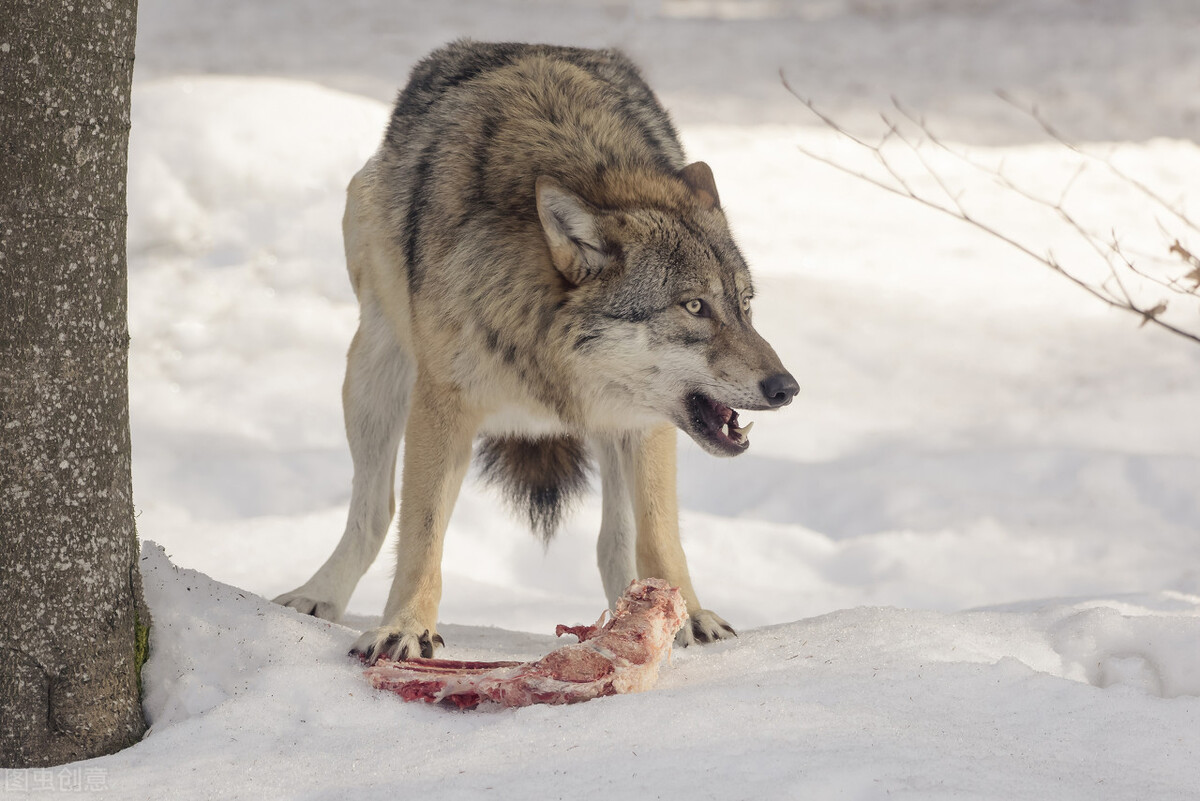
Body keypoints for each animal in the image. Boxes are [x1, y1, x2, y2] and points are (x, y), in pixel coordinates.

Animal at [272, 38, 796, 661]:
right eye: (694, 307)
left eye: (744, 305)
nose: (787, 388)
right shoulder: (442, 405)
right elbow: (422, 534)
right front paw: (404, 628)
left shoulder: (648, 424)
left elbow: (661, 535)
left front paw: (689, 618)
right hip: (376, 368)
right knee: (376, 511)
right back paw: (317, 596)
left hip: (618, 428)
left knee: (614, 541)